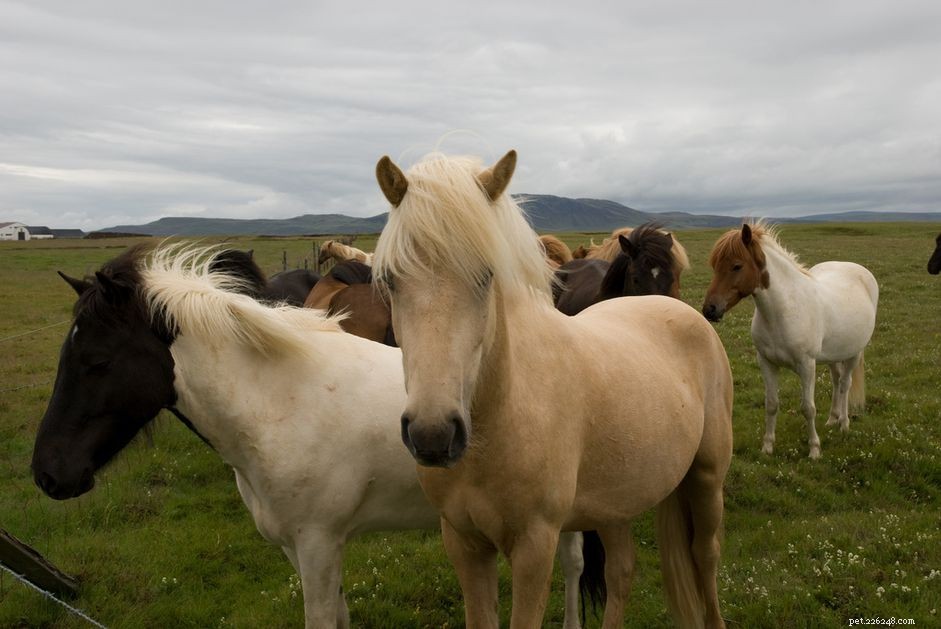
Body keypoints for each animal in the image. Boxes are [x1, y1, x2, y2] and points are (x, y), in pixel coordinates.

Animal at [374, 150, 733, 628]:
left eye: (486, 275)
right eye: (391, 280)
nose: (433, 435)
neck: (502, 416)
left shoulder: (534, 548)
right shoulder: (465, 544)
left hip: (707, 478)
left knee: (705, 557)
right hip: (614, 502)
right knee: (622, 571)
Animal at [702, 222, 879, 459]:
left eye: (736, 266)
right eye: (715, 265)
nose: (710, 310)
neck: (783, 311)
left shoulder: (807, 366)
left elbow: (808, 408)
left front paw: (814, 449)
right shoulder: (766, 363)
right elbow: (771, 404)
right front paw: (767, 446)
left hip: (854, 353)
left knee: (845, 384)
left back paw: (844, 423)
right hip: (833, 355)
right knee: (836, 381)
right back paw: (832, 419)